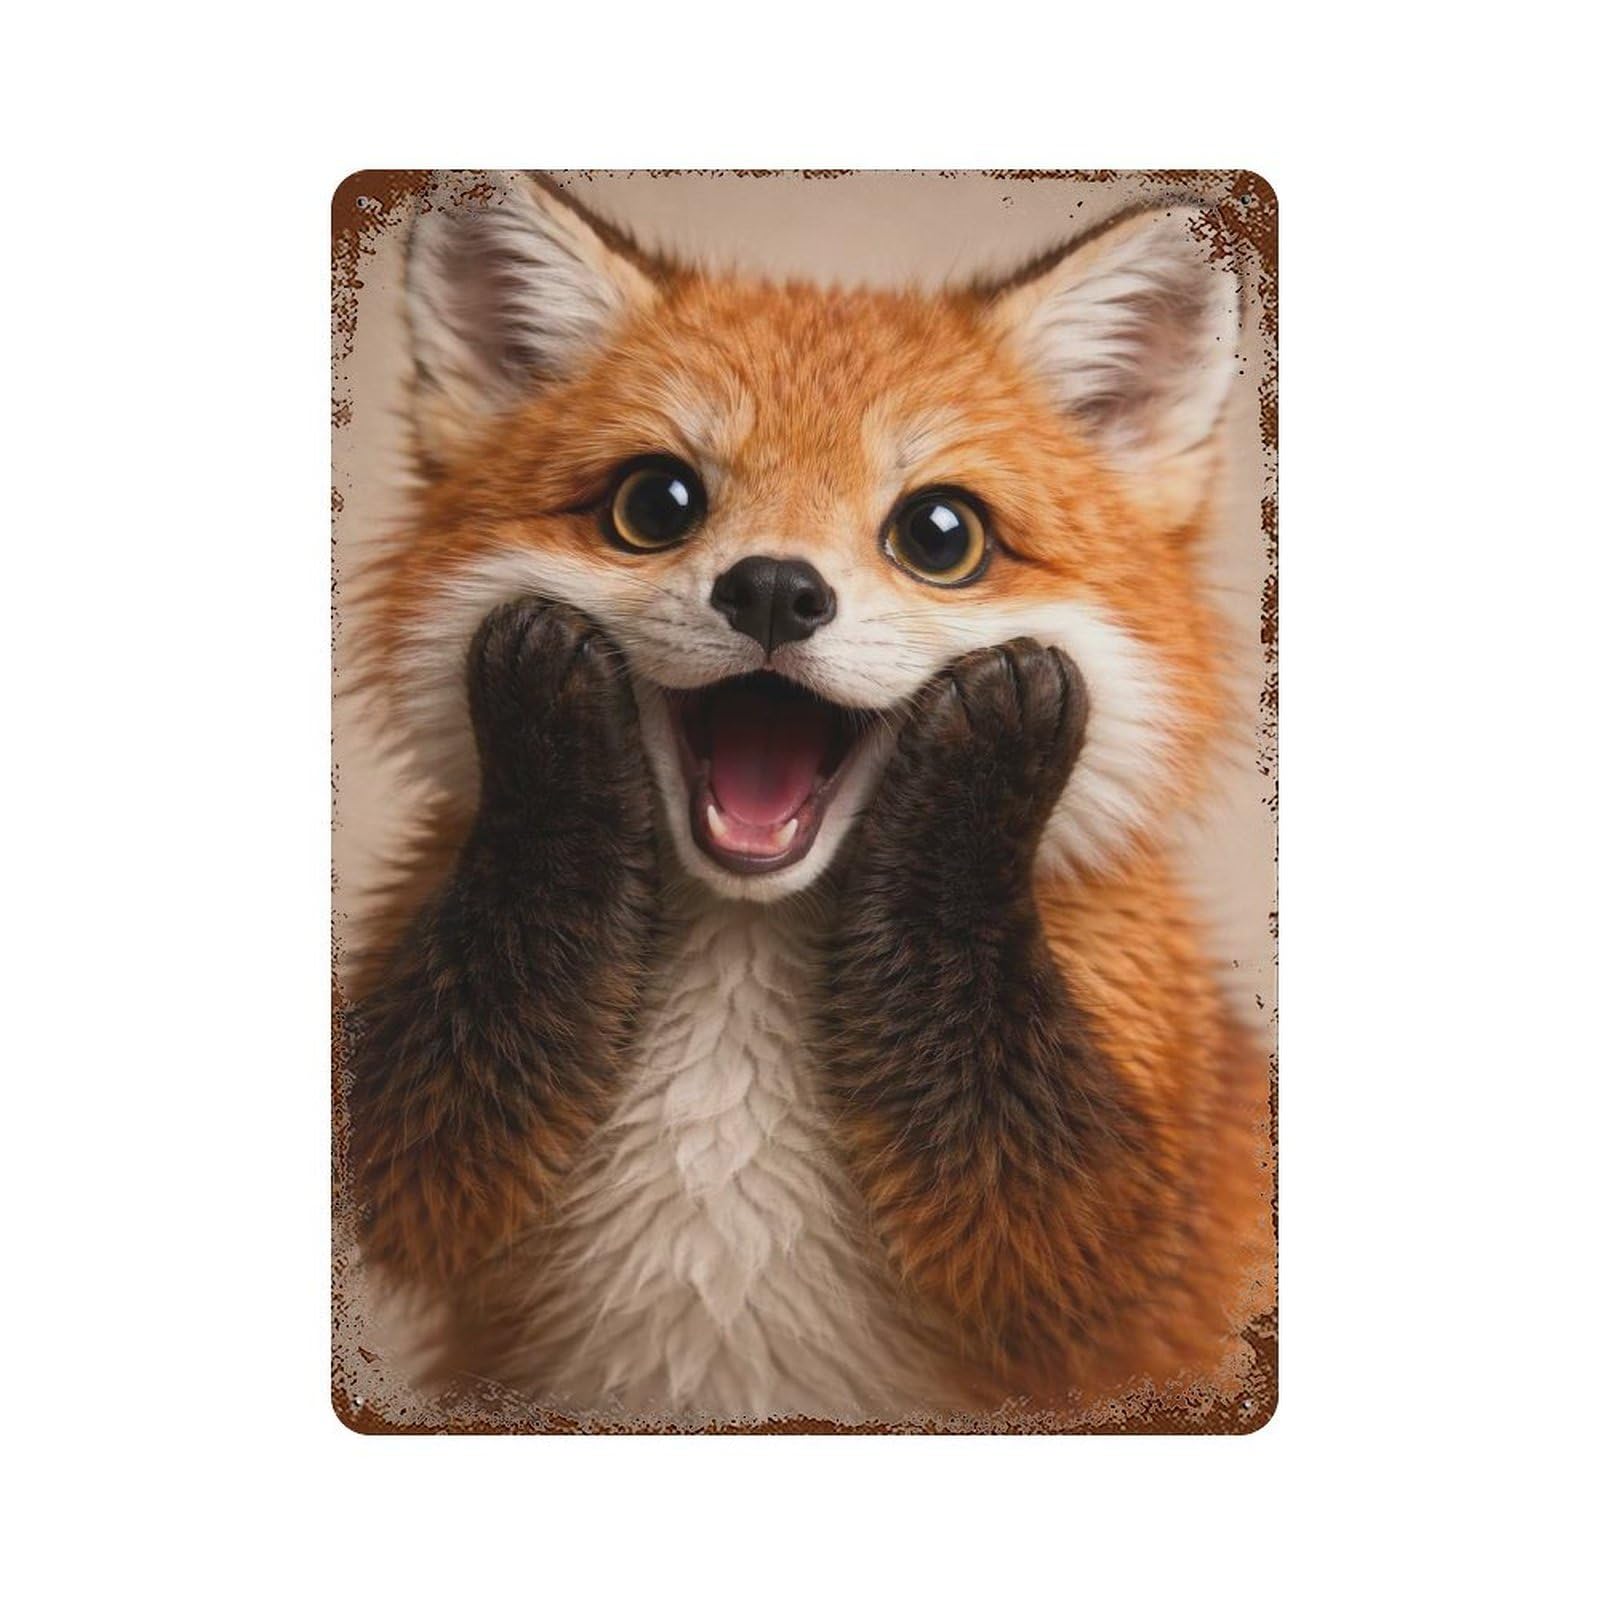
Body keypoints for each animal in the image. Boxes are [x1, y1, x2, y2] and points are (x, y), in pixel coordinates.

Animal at [341, 172, 1272, 1427]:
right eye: (656, 503)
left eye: (941, 534)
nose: (777, 590)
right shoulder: (417, 1133)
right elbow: (414, 1153)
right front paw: (547, 727)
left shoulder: (1134, 1213)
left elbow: (1061, 1228)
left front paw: (984, 767)